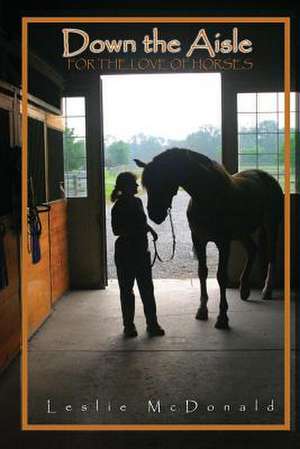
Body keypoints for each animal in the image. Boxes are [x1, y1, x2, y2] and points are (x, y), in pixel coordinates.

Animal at [136, 149, 284, 328]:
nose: (155, 215)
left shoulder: (223, 243)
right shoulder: (199, 240)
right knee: (252, 250)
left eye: (165, 179)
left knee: (271, 255)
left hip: (270, 225)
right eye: (147, 185)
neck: (208, 196)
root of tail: (265, 176)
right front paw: (202, 310)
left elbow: (221, 276)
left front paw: (222, 317)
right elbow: (202, 273)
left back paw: (267, 290)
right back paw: (244, 289)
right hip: (241, 232)